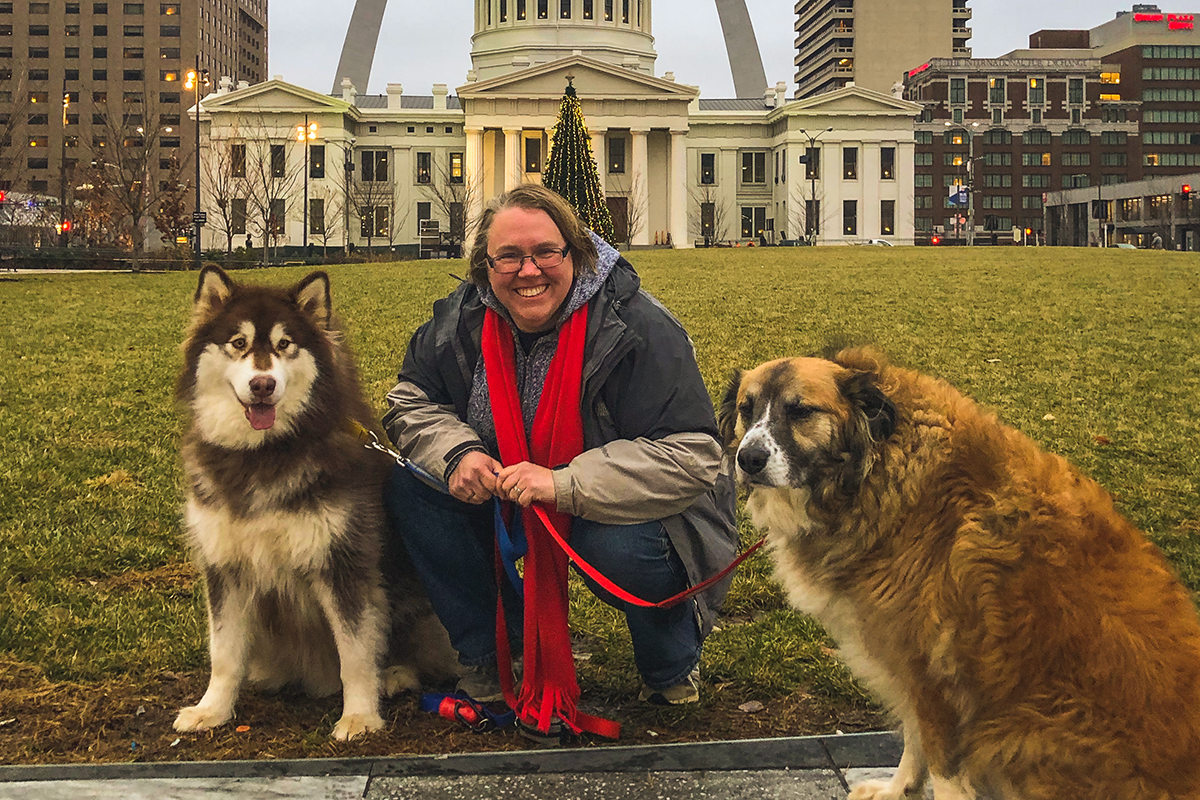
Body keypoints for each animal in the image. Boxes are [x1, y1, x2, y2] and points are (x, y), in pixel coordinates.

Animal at [720, 347, 1200, 800]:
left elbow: (940, 762)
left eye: (800, 410)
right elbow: (914, 741)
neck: (877, 470)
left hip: (1019, 731)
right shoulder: (910, 667)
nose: (748, 459)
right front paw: (899, 789)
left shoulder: (934, 674)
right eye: (747, 408)